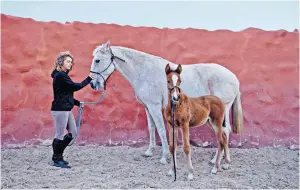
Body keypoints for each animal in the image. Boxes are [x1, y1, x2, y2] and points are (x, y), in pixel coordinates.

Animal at [89, 40, 244, 164]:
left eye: (97, 60)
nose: (92, 84)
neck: (145, 71)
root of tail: (235, 79)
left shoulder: (155, 107)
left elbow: (161, 129)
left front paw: (164, 157)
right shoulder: (148, 107)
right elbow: (152, 128)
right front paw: (149, 152)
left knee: (224, 131)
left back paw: (215, 160)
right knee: (224, 132)